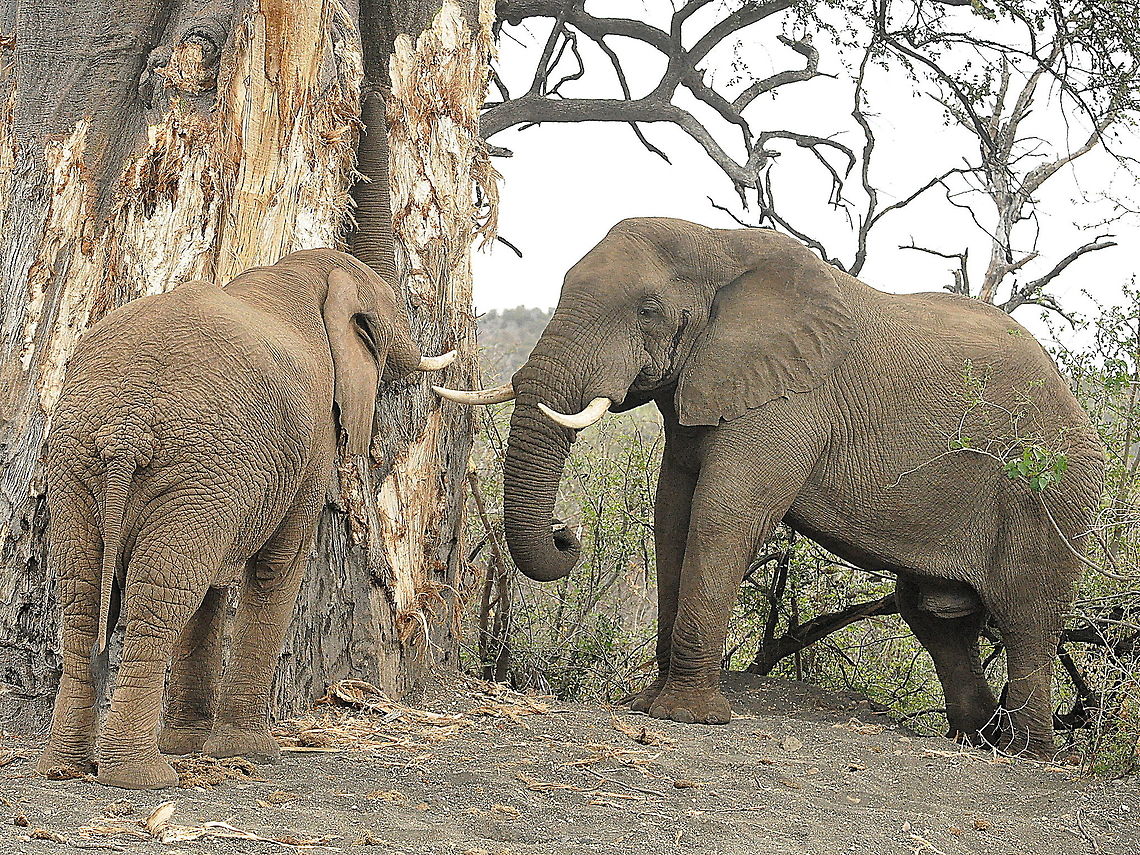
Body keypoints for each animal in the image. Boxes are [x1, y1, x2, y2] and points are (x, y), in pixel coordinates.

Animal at [35, 247, 454, 790]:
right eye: (390, 315)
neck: (305, 273)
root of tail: (126, 431)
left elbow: (215, 584)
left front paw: (189, 744)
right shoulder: (313, 443)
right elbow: (279, 564)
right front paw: (252, 753)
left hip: (82, 463)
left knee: (84, 594)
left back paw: (63, 767)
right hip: (194, 468)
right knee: (160, 598)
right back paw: (142, 777)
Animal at [435, 217, 1105, 758]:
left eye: (648, 307)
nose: (565, 535)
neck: (720, 247)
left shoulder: (794, 395)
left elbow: (721, 515)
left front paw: (688, 717)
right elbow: (672, 515)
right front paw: (649, 705)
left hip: (1049, 492)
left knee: (1027, 617)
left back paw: (1027, 752)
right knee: (937, 617)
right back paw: (974, 736)